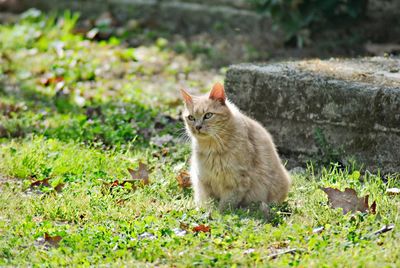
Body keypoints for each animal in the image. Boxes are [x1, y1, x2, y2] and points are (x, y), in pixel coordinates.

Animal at [181, 81, 290, 211]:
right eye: (191, 117)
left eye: (208, 115)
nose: (197, 127)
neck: (212, 147)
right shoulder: (204, 180)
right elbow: (207, 203)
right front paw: (205, 212)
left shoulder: (237, 182)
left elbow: (224, 207)